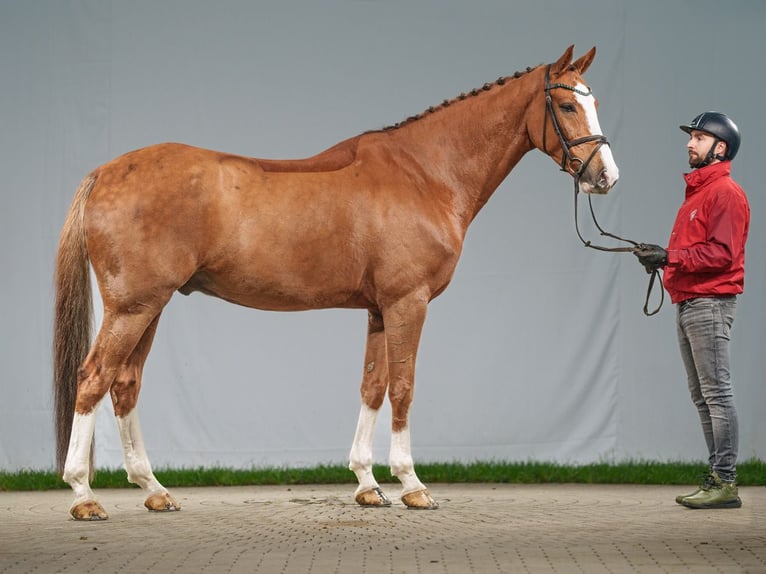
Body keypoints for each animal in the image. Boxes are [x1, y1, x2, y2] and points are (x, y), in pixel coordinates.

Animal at [52, 46, 616, 520]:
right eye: (567, 104)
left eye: (593, 102)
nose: (606, 176)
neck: (424, 173)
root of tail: (105, 172)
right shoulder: (408, 303)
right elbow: (404, 387)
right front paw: (412, 485)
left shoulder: (379, 309)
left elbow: (372, 386)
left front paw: (368, 484)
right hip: (133, 307)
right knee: (94, 378)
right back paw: (83, 494)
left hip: (150, 307)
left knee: (125, 384)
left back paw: (154, 490)